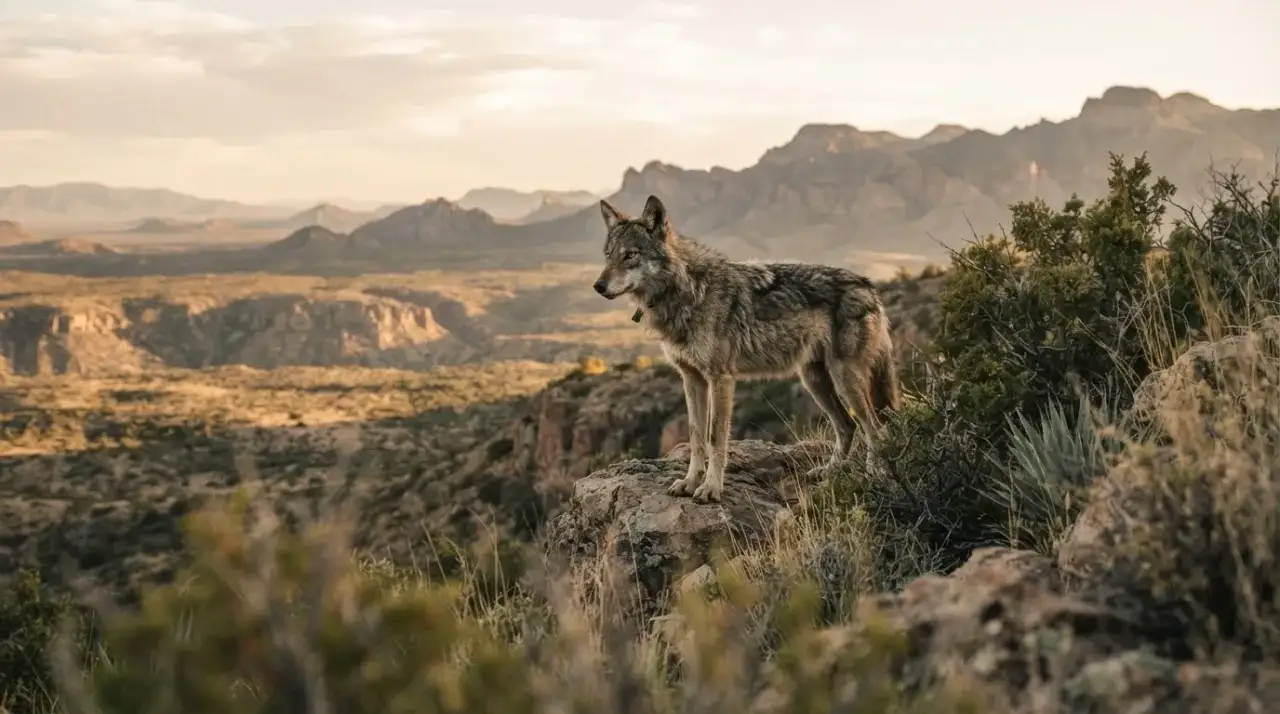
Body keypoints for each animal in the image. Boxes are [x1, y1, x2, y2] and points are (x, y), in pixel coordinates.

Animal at [592, 194, 902, 503]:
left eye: (630, 255)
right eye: (608, 255)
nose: (598, 286)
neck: (687, 291)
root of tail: (869, 286)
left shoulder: (720, 379)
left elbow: (715, 438)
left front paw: (711, 488)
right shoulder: (692, 379)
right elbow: (695, 436)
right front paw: (689, 483)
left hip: (844, 380)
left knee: (875, 429)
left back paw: (873, 476)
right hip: (814, 380)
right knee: (848, 426)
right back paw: (829, 472)